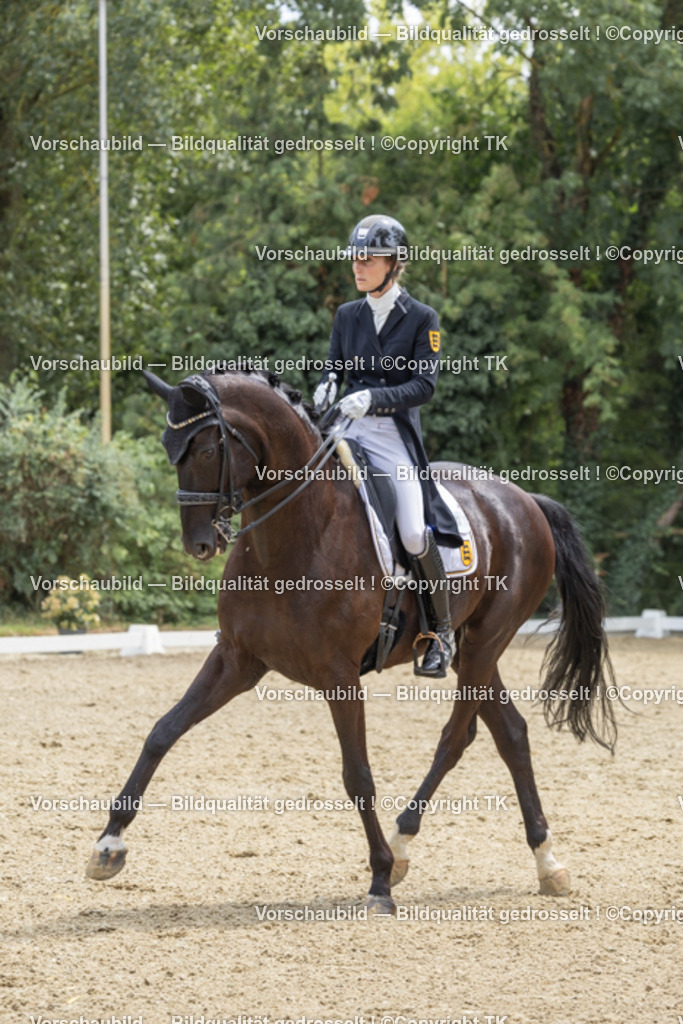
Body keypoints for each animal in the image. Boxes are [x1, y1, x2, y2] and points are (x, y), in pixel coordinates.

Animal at [86, 368, 616, 914]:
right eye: (169, 449)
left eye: (210, 449)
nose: (199, 544)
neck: (295, 534)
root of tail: (526, 500)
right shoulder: (237, 659)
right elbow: (163, 731)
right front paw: (109, 844)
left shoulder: (339, 676)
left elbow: (357, 775)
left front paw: (379, 880)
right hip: (472, 649)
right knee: (510, 734)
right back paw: (547, 861)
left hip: (487, 642)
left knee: (454, 738)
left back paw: (403, 848)